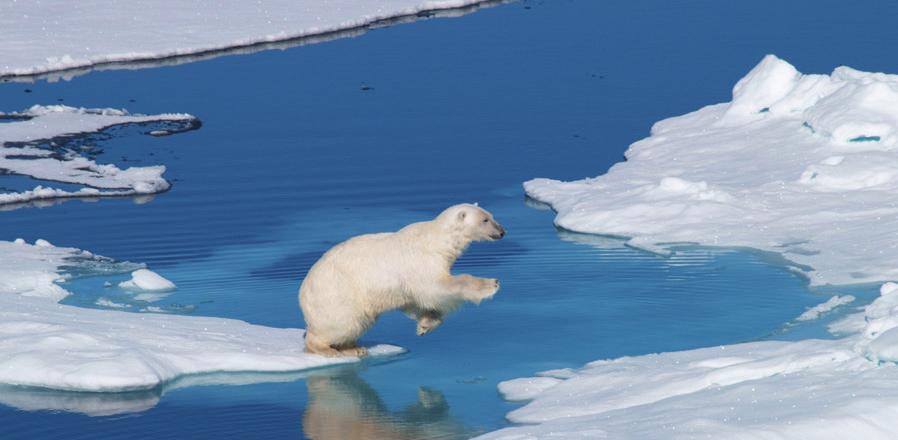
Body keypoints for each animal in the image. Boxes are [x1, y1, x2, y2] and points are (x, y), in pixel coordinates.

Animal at [300, 205, 504, 356]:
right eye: (485, 220)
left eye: (491, 216)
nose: (502, 232)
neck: (437, 240)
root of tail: (303, 292)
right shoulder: (421, 260)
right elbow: (435, 287)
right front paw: (490, 284)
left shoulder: (404, 285)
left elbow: (414, 301)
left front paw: (425, 325)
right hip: (337, 294)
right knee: (342, 322)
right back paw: (327, 348)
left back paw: (354, 349)